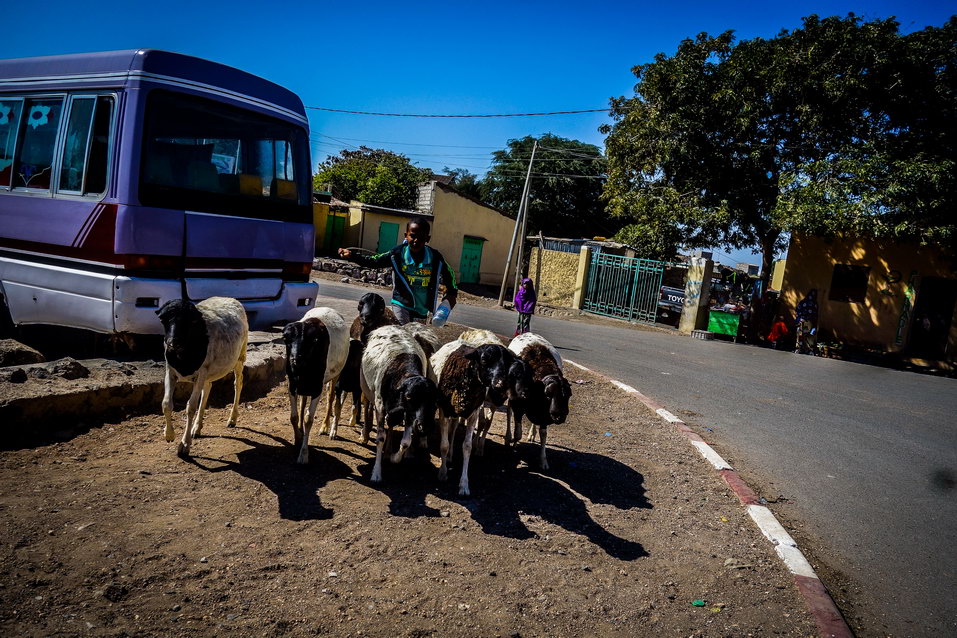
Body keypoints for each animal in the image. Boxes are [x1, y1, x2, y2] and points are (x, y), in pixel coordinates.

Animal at [157, 298, 248, 458]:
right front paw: (169, 435)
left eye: (188, 320)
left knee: (238, 383)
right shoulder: (170, 370)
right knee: (207, 388)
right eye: (163, 319)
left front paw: (184, 445)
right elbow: (166, 403)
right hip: (208, 373)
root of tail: (229, 298)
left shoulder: (201, 372)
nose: (172, 342)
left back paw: (232, 418)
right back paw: (197, 428)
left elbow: (191, 407)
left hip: (239, 357)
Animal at [284, 308, 352, 462]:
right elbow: (294, 416)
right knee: (303, 402)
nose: (295, 359)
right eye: (287, 340)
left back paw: (326, 426)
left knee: (331, 398)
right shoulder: (292, 384)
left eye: (310, 341)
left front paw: (304, 454)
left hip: (336, 374)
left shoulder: (317, 388)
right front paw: (297, 438)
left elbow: (309, 419)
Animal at [358, 330, 436, 484]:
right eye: (409, 396)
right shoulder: (381, 407)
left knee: (391, 424)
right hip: (366, 389)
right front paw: (376, 473)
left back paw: (388, 452)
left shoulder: (409, 414)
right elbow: (380, 438)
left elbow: (406, 442)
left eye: (431, 400)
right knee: (368, 407)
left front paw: (394, 457)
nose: (422, 426)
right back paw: (365, 434)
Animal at [508, 332, 568, 472]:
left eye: (568, 395)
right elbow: (518, 434)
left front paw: (543, 462)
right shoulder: (518, 407)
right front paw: (513, 447)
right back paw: (508, 436)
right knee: (508, 412)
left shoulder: (544, 414)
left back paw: (531, 434)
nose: (559, 417)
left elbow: (543, 435)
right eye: (548, 395)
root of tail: (527, 333)